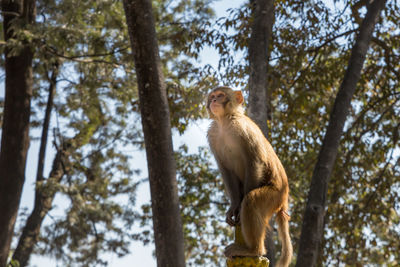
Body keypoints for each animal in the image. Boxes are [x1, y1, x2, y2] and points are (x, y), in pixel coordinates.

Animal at [206, 87, 294, 266]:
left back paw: (253, 250)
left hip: (275, 195)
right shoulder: (213, 135)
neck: (225, 123)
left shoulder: (243, 130)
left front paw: (239, 209)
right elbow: (226, 170)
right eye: (212, 96)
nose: (214, 101)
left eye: (220, 95)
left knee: (252, 200)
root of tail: (284, 200)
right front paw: (234, 206)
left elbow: (255, 162)